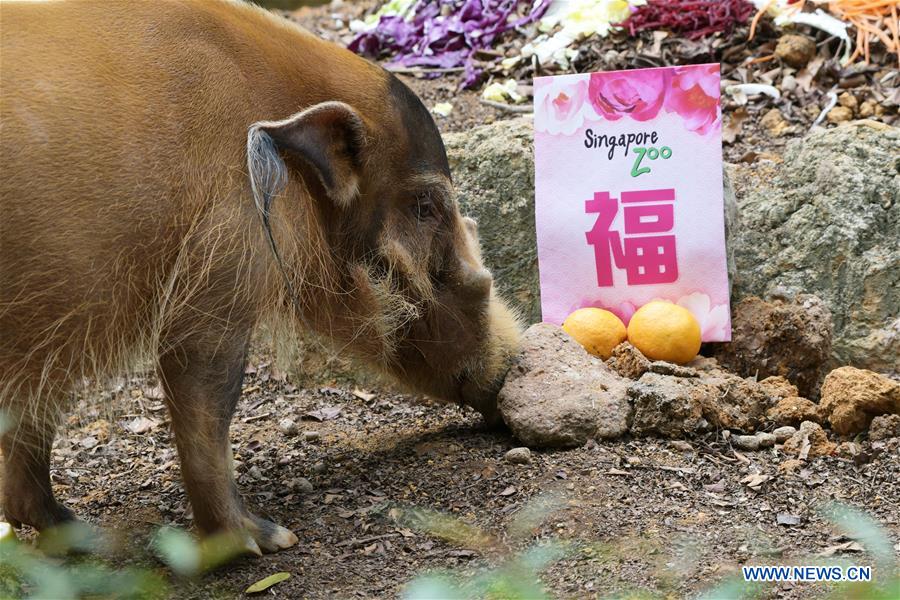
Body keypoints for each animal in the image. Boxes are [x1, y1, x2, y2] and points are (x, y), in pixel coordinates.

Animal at [0, 0, 521, 554]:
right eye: (425, 206)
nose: (511, 365)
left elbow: (36, 407)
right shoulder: (222, 266)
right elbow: (209, 396)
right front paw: (265, 541)